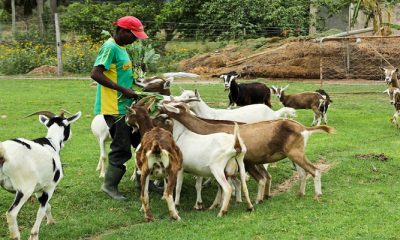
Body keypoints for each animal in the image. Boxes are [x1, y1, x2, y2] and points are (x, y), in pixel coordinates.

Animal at [0, 110, 81, 240]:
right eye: (68, 125)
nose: (71, 135)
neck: (51, 142)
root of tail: (3, 153)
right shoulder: (50, 186)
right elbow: (41, 211)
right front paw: (34, 235)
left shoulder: (38, 188)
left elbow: (47, 206)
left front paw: (51, 222)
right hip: (25, 189)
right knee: (11, 214)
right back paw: (16, 236)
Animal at [159, 102, 334, 203]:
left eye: (172, 105)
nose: (160, 105)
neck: (212, 128)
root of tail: (304, 128)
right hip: (295, 155)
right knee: (303, 173)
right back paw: (299, 194)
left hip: (295, 154)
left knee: (315, 170)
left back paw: (317, 195)